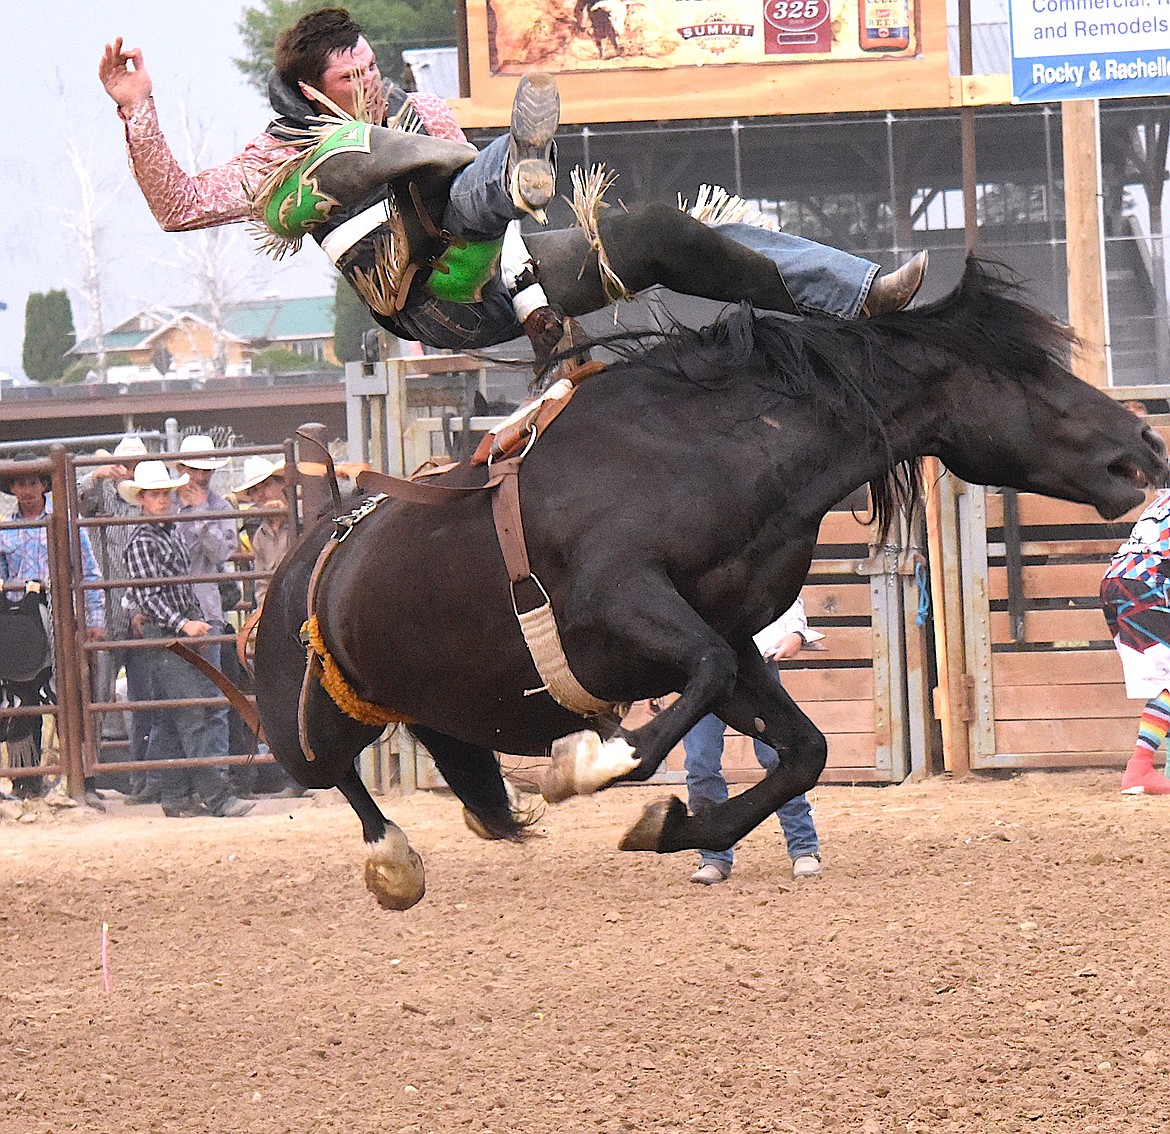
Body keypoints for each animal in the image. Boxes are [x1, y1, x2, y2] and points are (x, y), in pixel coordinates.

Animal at [251, 260, 1165, 908]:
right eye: (1027, 375)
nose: (1144, 449)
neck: (701, 451)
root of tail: (304, 556)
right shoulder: (624, 605)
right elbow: (688, 707)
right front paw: (591, 764)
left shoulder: (721, 632)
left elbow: (802, 748)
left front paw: (669, 826)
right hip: (309, 724)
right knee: (338, 778)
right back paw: (395, 862)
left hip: (431, 706)